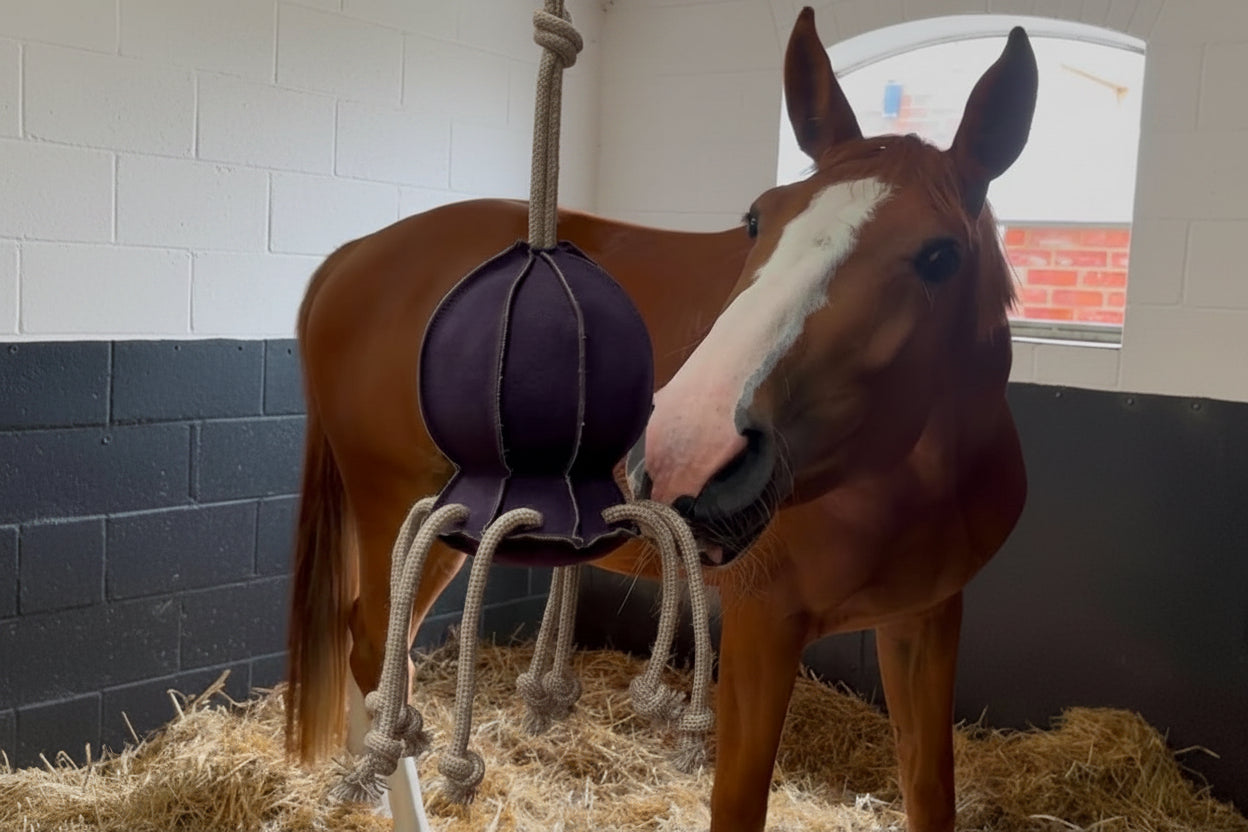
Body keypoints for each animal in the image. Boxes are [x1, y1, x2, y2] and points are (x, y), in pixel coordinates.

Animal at [284, 7, 1035, 831]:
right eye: (756, 220)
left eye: (940, 257)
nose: (688, 450)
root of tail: (354, 255)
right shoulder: (763, 626)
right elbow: (738, 802)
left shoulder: (923, 621)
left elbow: (930, 790)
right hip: (404, 512)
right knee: (374, 651)